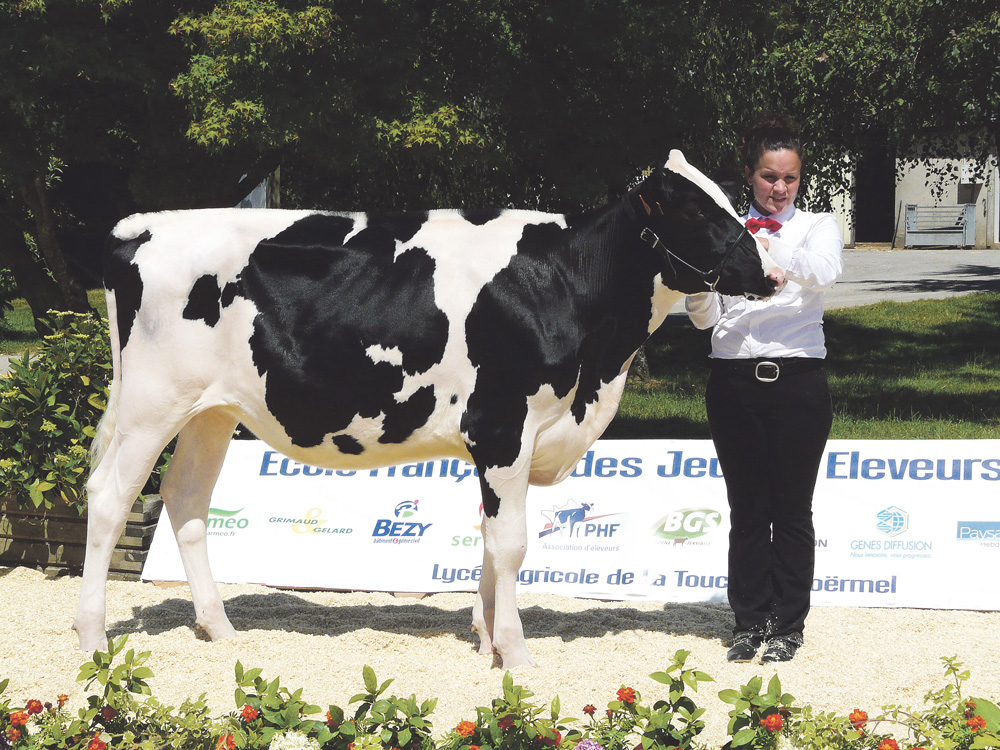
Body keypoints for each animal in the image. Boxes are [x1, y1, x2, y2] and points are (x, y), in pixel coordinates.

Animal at [74, 150, 784, 668]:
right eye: (695, 209)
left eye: (731, 201)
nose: (773, 275)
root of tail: (144, 224)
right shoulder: (501, 427)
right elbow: (512, 542)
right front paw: (515, 653)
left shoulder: (507, 441)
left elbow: (490, 538)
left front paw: (486, 636)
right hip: (149, 403)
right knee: (109, 497)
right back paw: (93, 638)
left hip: (210, 410)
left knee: (186, 499)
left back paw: (220, 629)